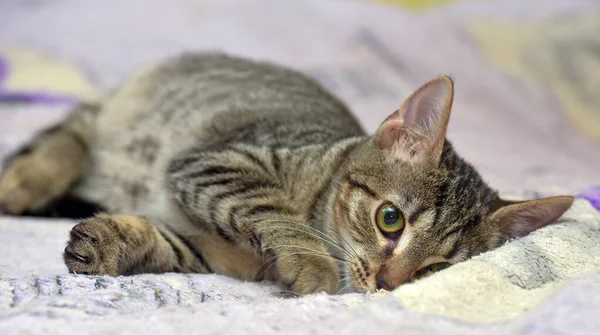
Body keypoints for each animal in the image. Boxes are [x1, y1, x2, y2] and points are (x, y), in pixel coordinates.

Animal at [0, 51, 576, 294]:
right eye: (390, 219)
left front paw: (113, 241)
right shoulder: (220, 163)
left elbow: (168, 245)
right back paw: (25, 181)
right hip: (105, 116)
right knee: (67, 139)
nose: (388, 283)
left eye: (435, 269)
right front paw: (313, 259)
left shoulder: (212, 251)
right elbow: (275, 211)